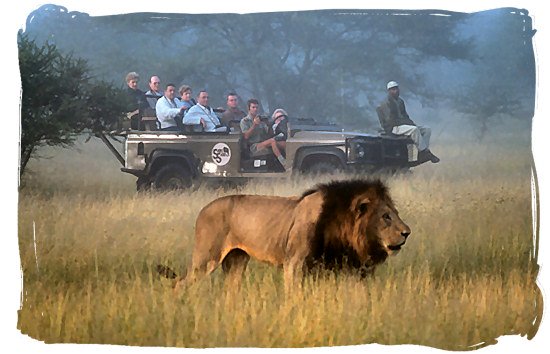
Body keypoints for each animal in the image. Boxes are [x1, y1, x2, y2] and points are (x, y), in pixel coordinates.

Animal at [166, 178, 412, 292]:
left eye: (395, 213)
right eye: (386, 217)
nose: (407, 233)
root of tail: (202, 209)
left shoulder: (342, 269)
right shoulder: (294, 265)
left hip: (236, 260)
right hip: (206, 258)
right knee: (180, 283)